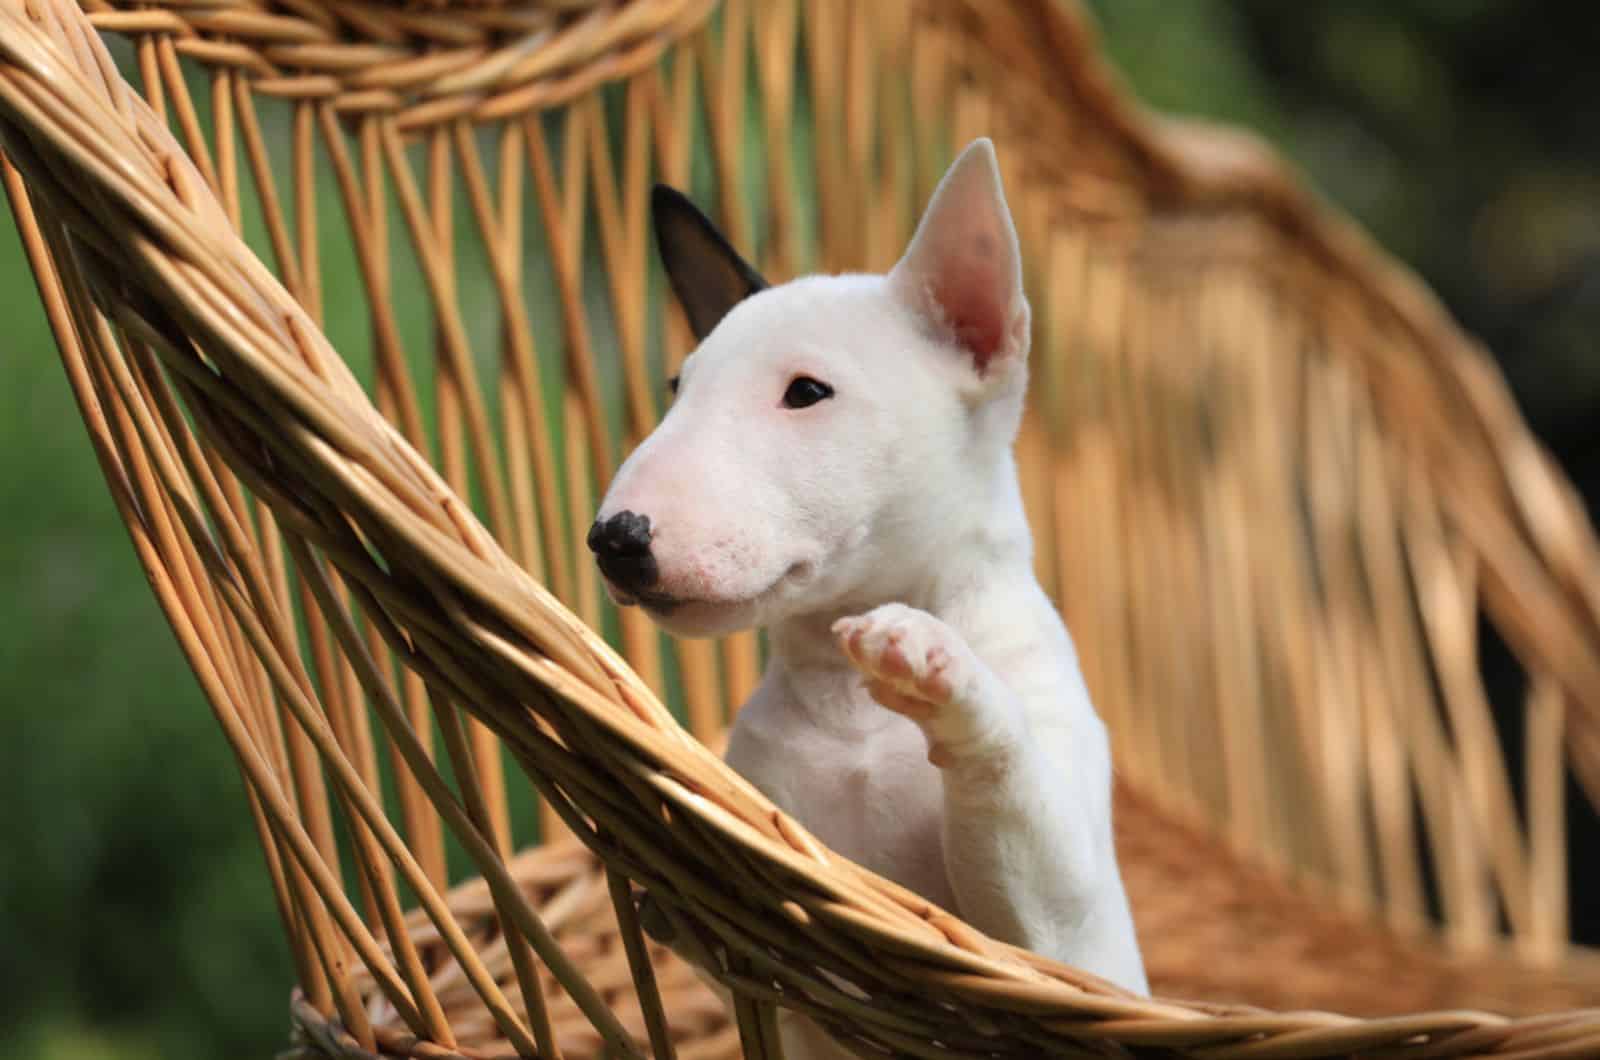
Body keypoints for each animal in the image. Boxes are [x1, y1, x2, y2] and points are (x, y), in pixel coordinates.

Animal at [595, 139, 1145, 1056]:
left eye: (806, 392)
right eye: (677, 387)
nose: (615, 540)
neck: (850, 710)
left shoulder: (1055, 940)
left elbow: (1028, 849)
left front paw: (933, 662)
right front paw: (681, 901)